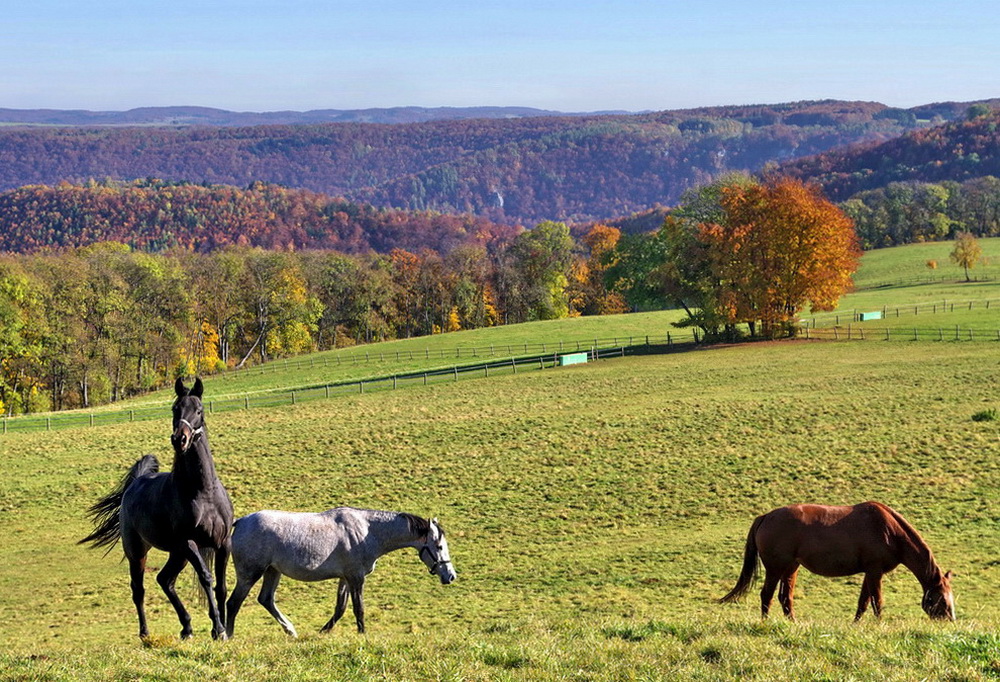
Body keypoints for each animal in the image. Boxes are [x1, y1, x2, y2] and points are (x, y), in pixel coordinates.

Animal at [80, 378, 234, 636]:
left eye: (199, 410)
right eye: (175, 409)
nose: (180, 439)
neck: (203, 493)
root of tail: (135, 483)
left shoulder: (223, 543)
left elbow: (221, 587)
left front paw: (222, 630)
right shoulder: (190, 543)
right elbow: (206, 578)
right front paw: (219, 627)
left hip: (177, 554)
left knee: (165, 580)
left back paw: (187, 626)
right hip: (138, 552)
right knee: (139, 589)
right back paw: (145, 634)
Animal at [227, 502, 458, 636]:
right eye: (439, 546)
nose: (451, 576)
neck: (366, 531)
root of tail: (240, 522)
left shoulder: (345, 578)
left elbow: (340, 608)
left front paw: (323, 632)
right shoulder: (356, 578)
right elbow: (358, 608)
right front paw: (362, 634)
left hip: (272, 571)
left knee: (266, 600)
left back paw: (291, 631)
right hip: (250, 574)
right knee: (233, 603)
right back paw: (226, 636)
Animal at [720, 500, 952, 620]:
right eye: (942, 599)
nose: (950, 620)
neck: (889, 530)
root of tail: (765, 517)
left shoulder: (869, 572)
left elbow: (863, 602)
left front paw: (857, 625)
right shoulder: (875, 572)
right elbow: (877, 601)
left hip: (791, 568)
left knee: (785, 597)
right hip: (775, 568)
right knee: (766, 595)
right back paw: (766, 623)